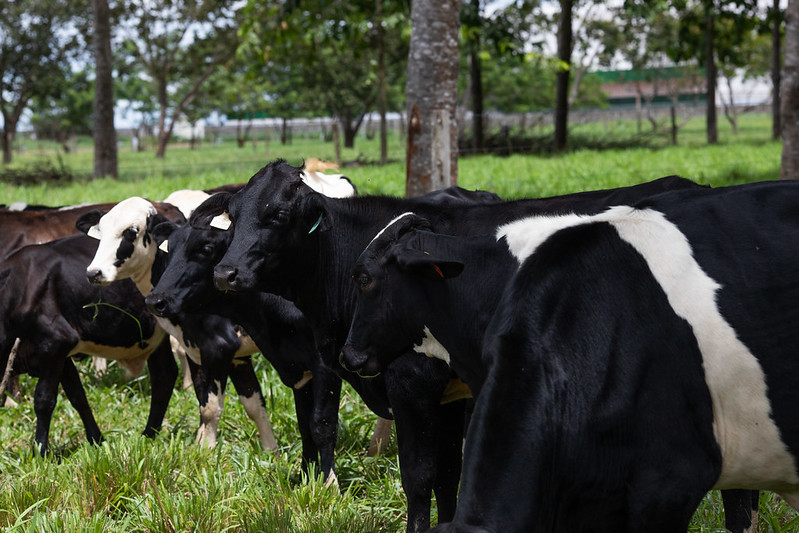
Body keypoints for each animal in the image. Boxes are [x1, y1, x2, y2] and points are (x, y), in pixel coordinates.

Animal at [0, 235, 177, 456]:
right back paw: (148, 435)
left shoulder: (56, 341)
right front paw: (97, 440)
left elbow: (44, 400)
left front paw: (40, 451)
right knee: (164, 376)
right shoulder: (60, 353)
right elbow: (77, 396)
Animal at [206, 159, 708, 532]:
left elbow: (420, 475)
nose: (226, 273)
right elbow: (448, 474)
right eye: (234, 215)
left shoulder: (412, 383)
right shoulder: (449, 394)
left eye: (278, 215)